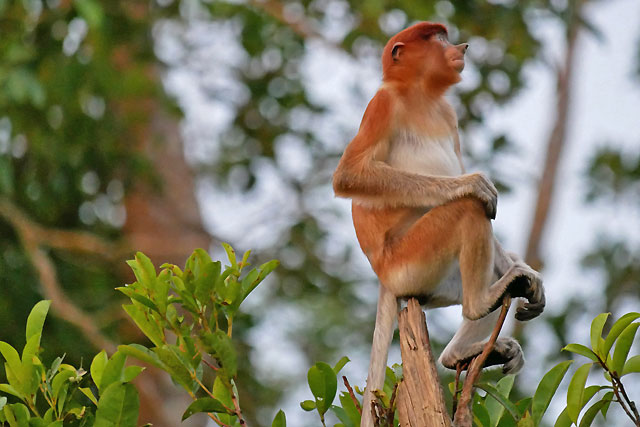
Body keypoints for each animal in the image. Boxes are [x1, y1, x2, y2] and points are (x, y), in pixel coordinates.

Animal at [332, 23, 548, 427]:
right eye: (436, 37)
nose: (461, 46)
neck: (421, 96)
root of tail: (384, 277)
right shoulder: (381, 106)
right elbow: (349, 176)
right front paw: (475, 183)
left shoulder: (449, 114)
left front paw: (535, 282)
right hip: (410, 262)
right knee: (467, 211)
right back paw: (482, 301)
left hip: (436, 283)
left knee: (498, 262)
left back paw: (460, 351)